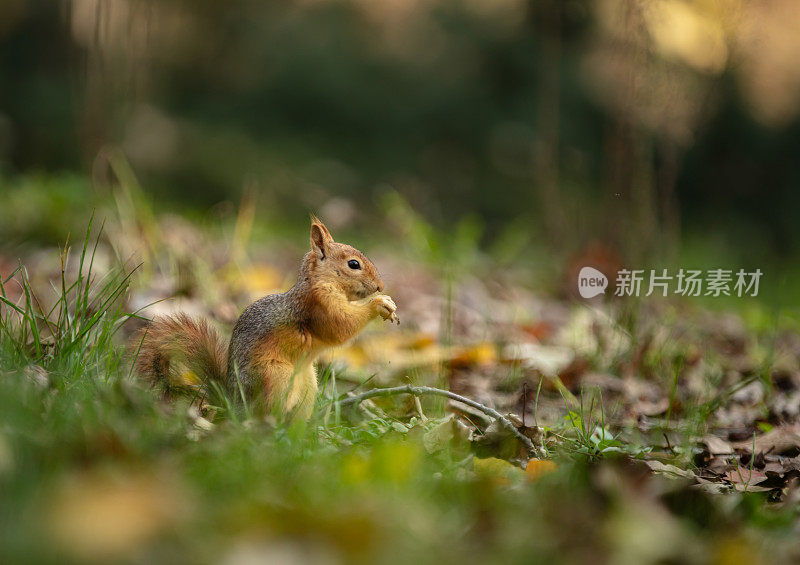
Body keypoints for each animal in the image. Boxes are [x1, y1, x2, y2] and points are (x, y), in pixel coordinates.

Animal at [139, 216, 400, 418]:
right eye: (353, 264)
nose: (380, 286)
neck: (320, 281)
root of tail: (233, 402)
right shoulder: (319, 305)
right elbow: (340, 326)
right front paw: (379, 304)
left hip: (307, 385)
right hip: (274, 377)